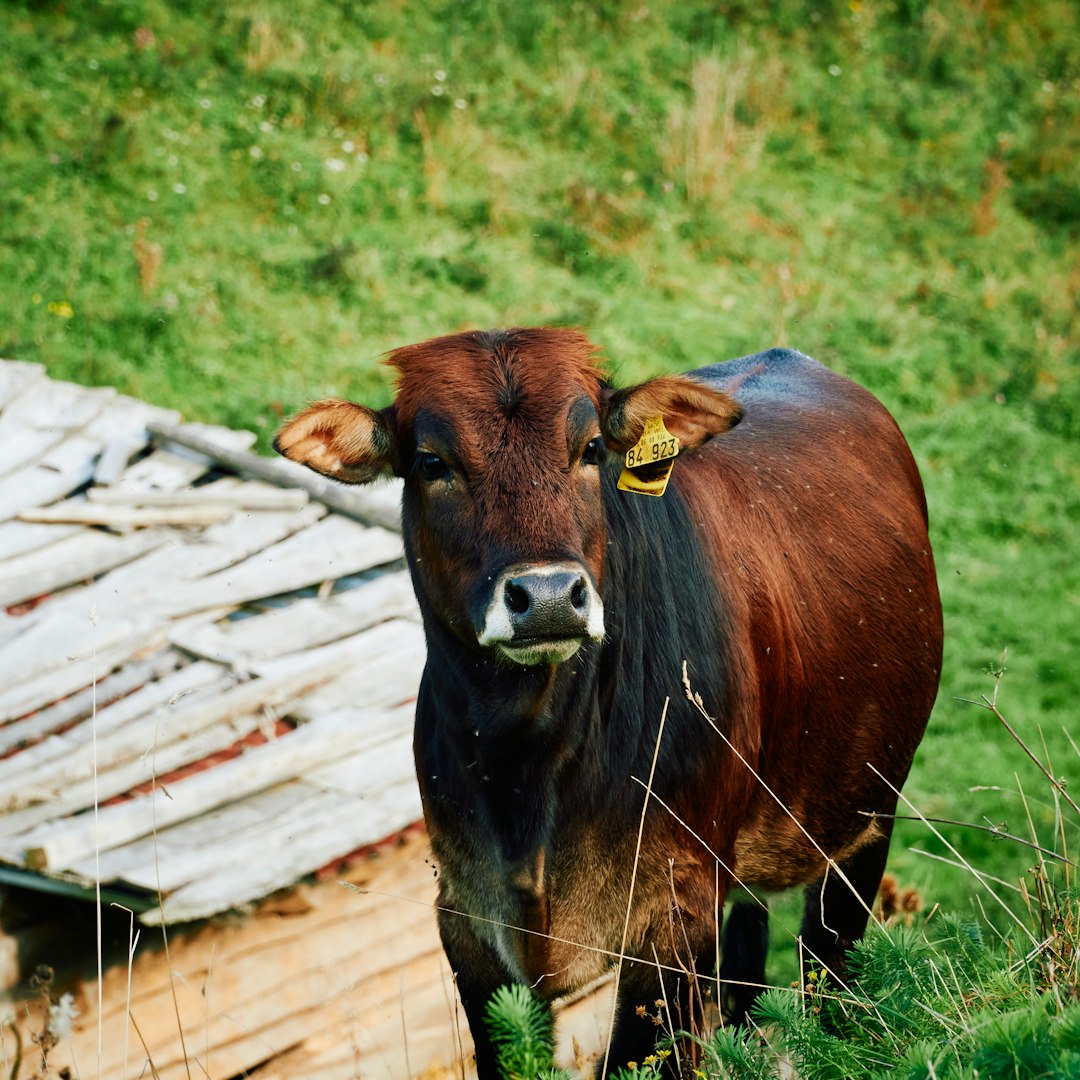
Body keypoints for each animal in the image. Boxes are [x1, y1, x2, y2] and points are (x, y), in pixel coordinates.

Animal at [278, 326, 946, 1071]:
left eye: (592, 449)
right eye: (431, 461)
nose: (545, 596)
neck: (530, 767)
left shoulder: (671, 919)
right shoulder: (467, 920)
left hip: (863, 823)